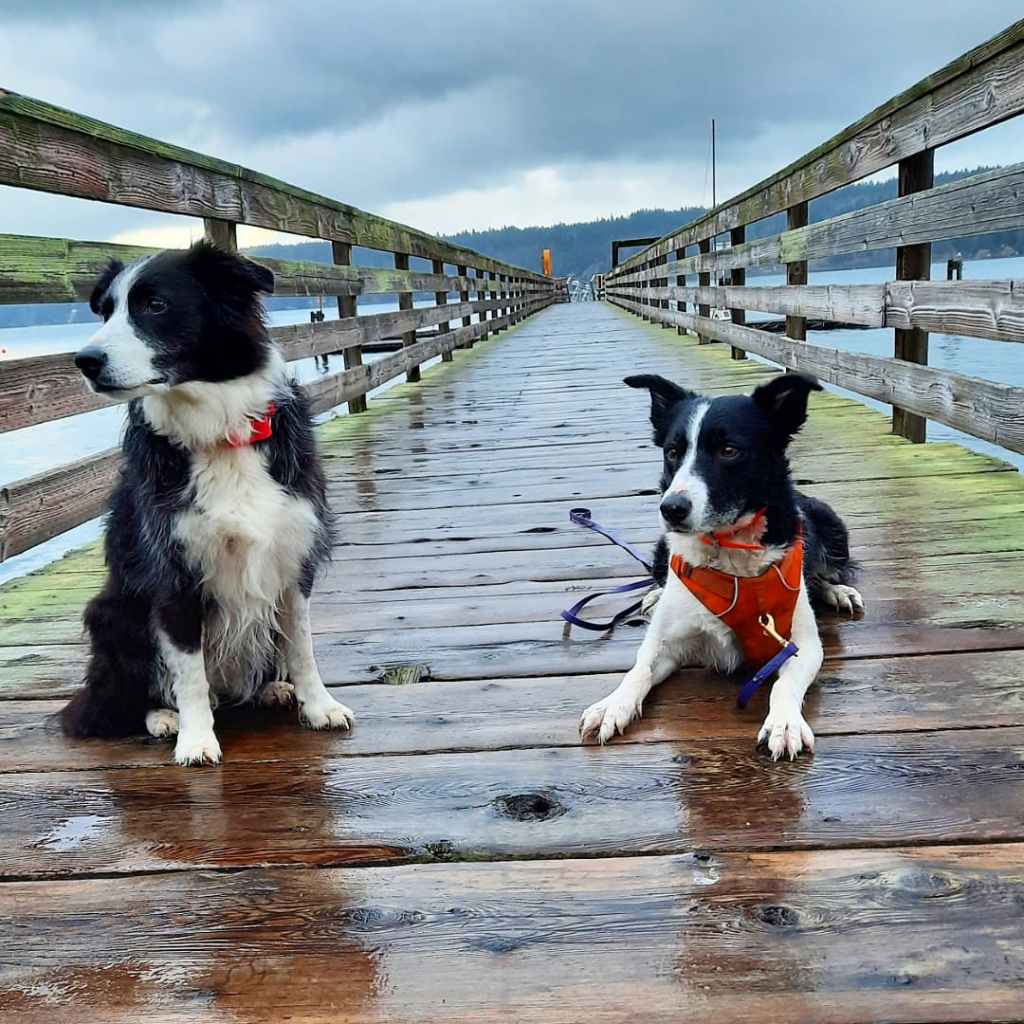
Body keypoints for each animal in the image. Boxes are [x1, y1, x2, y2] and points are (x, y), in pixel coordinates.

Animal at [60, 241, 354, 765]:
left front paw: (319, 706)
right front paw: (196, 739)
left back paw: (273, 689)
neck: (219, 436)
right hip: (114, 613)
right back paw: (162, 717)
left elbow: (301, 646)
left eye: (155, 305)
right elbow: (189, 672)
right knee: (114, 708)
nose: (85, 360)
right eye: (106, 311)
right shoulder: (173, 571)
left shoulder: (293, 556)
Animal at [579, 372, 862, 760]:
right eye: (672, 452)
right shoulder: (666, 643)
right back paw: (654, 595)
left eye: (729, 450)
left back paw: (839, 591)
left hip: (828, 520)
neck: (728, 555)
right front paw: (613, 704)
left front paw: (784, 723)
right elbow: (639, 668)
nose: (671, 509)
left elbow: (785, 684)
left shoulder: (801, 644)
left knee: (824, 571)